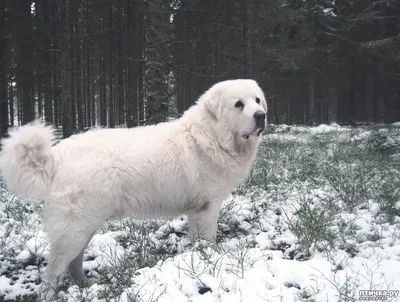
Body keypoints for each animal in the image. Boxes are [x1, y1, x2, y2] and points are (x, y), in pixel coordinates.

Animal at [0, 78, 268, 300]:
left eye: (256, 100)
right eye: (238, 104)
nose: (261, 115)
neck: (215, 135)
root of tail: (58, 154)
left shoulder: (197, 210)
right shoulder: (207, 206)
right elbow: (208, 239)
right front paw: (208, 258)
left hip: (85, 225)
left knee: (73, 262)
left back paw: (84, 286)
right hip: (75, 228)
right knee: (54, 269)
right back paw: (53, 295)